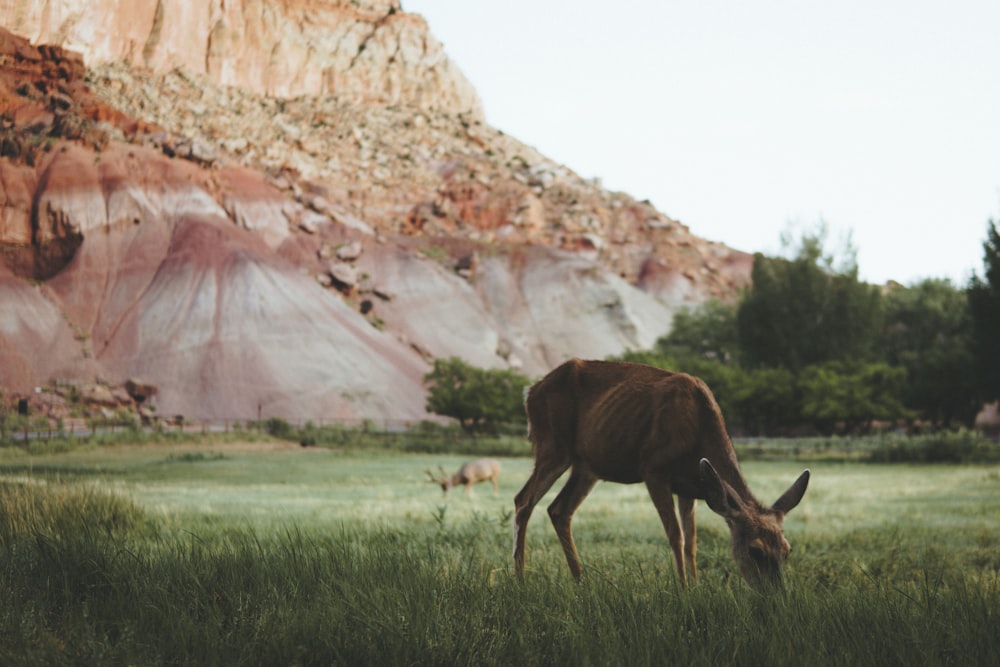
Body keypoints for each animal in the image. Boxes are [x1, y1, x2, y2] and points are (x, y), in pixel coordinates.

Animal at [512, 360, 808, 588]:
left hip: (587, 465)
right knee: (523, 500)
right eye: (755, 550)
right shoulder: (653, 468)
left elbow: (692, 542)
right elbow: (675, 535)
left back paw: (580, 580)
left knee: (559, 509)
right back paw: (520, 579)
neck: (698, 428)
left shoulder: (692, 486)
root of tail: (530, 392)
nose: (774, 595)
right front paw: (684, 589)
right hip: (552, 444)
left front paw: (696, 585)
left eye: (787, 550)